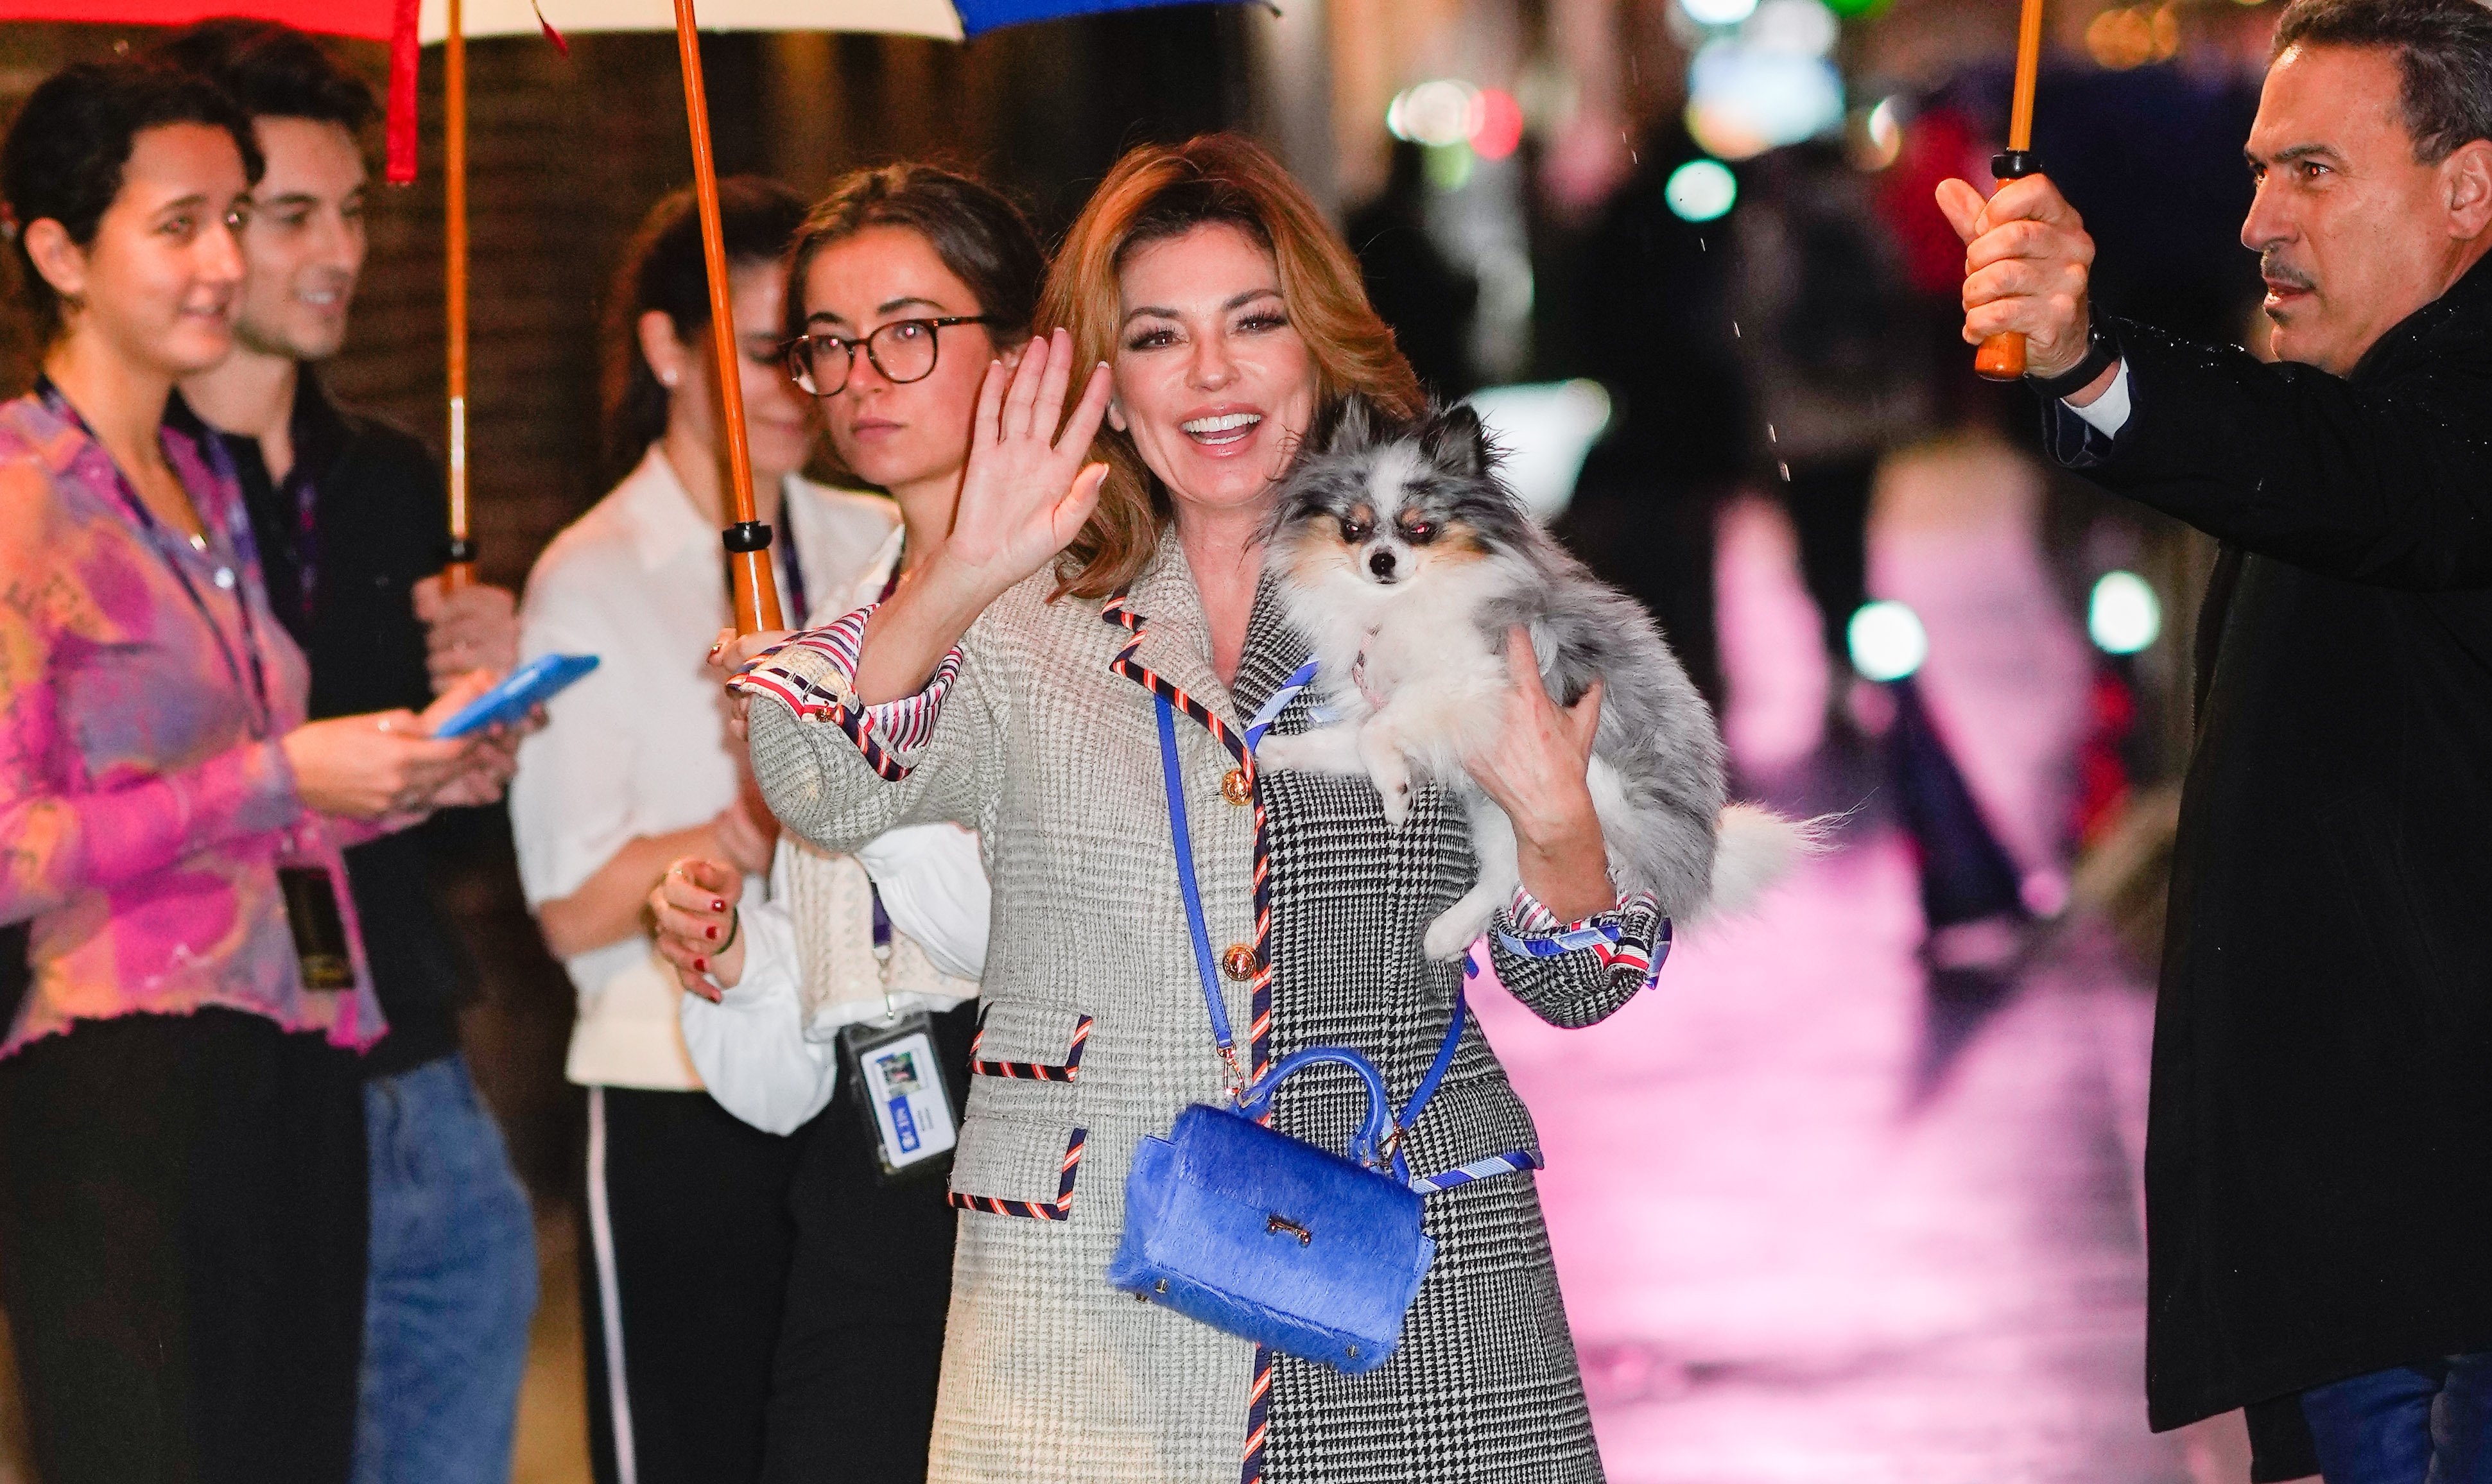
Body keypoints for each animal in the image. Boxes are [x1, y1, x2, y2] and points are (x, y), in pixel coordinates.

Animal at [1256, 401, 1804, 956]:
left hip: (1583, 793)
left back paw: (1444, 933)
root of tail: (1697, 856)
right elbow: (1349, 740)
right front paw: (1278, 752)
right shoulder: (1411, 717)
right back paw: (1447, 935)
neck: (1400, 601)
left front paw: (1393, 792)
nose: (1381, 561)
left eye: (1421, 530)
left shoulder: (1467, 683)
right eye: (1353, 528)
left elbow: (1374, 735)